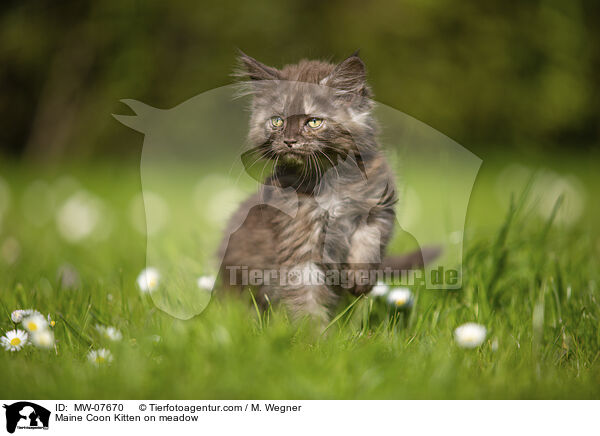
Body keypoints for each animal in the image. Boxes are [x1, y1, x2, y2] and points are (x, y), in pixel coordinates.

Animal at [220, 52, 426, 322]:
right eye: (277, 121)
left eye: (314, 122)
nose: (289, 141)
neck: (331, 180)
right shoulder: (299, 244)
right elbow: (306, 300)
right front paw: (314, 334)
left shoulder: (379, 207)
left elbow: (369, 241)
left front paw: (359, 279)